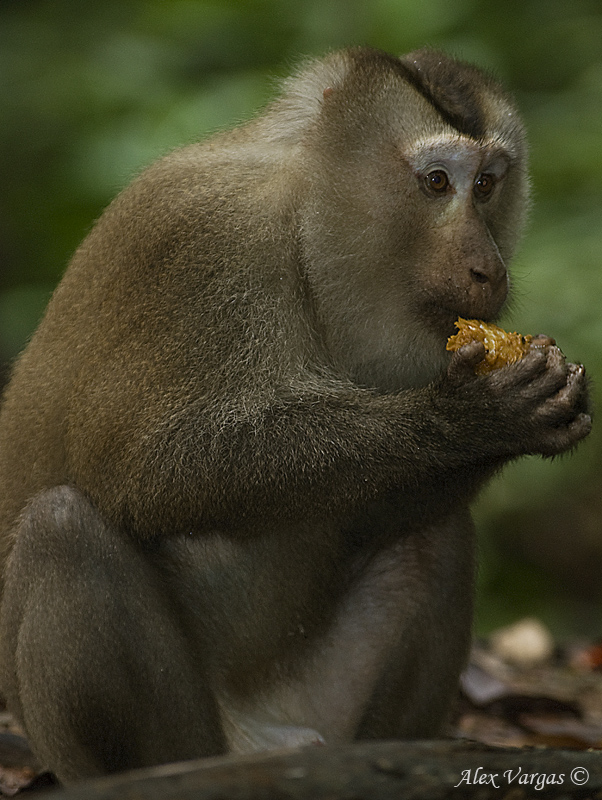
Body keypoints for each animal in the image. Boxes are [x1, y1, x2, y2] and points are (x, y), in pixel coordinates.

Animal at [0, 45, 588, 780]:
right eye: (435, 183)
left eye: (487, 184)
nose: (489, 269)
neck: (308, 226)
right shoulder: (206, 241)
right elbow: (149, 471)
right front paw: (469, 420)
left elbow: (376, 507)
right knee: (63, 529)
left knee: (435, 532)